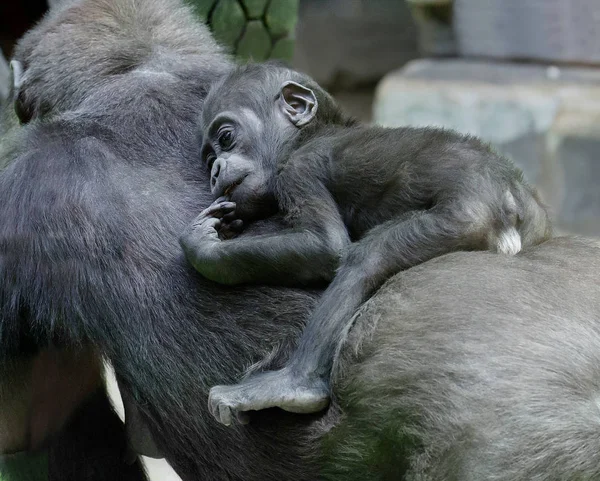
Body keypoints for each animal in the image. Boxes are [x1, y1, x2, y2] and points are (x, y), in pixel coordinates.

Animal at [180, 62, 552, 424]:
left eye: (226, 138)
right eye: (208, 157)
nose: (215, 170)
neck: (306, 138)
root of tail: (515, 202)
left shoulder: (299, 171)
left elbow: (325, 246)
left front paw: (204, 248)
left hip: (466, 217)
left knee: (366, 259)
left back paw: (294, 386)